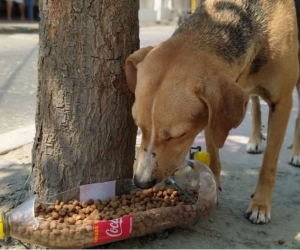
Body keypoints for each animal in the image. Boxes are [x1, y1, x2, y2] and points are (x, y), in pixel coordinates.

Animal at [124, 0, 298, 224]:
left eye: (178, 135)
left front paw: (260, 204)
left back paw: (295, 153)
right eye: (139, 127)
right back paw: (255, 139)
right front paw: (214, 184)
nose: (140, 181)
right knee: (255, 104)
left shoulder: (282, 103)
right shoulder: (211, 113)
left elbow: (269, 164)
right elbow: (213, 151)